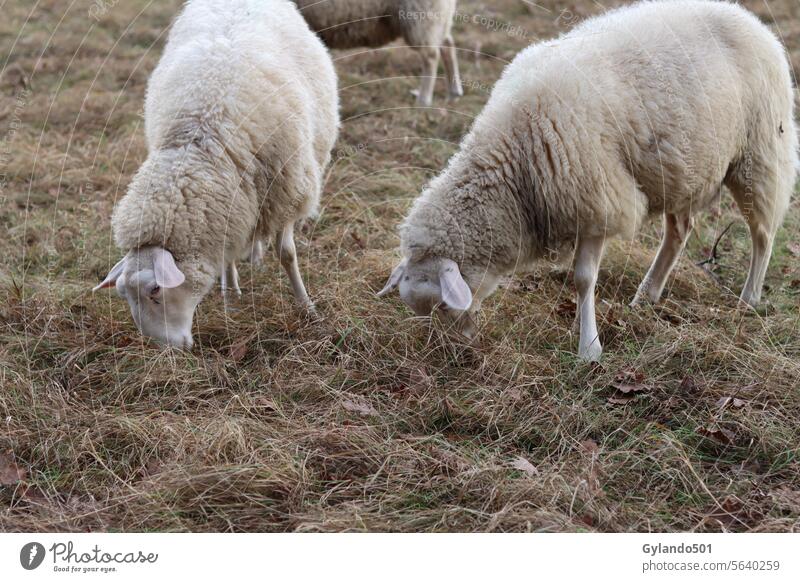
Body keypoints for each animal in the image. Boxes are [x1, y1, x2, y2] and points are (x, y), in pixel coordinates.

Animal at [92, 0, 340, 346]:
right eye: (123, 296)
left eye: (155, 289)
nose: (168, 350)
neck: (202, 137)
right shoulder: (229, 202)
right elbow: (227, 252)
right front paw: (230, 298)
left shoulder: (286, 191)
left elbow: (287, 254)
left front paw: (307, 307)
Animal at [294, 0, 462, 106]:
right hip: (438, 18)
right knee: (447, 44)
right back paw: (454, 91)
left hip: (420, 16)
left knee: (431, 56)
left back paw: (424, 100)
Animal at [378, 0, 796, 362]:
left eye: (442, 304)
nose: (452, 353)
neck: (515, 162)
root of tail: (748, 17)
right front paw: (584, 325)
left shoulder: (598, 199)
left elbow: (582, 279)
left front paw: (588, 348)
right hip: (682, 168)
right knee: (680, 230)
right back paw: (648, 293)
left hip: (760, 152)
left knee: (763, 233)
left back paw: (748, 298)